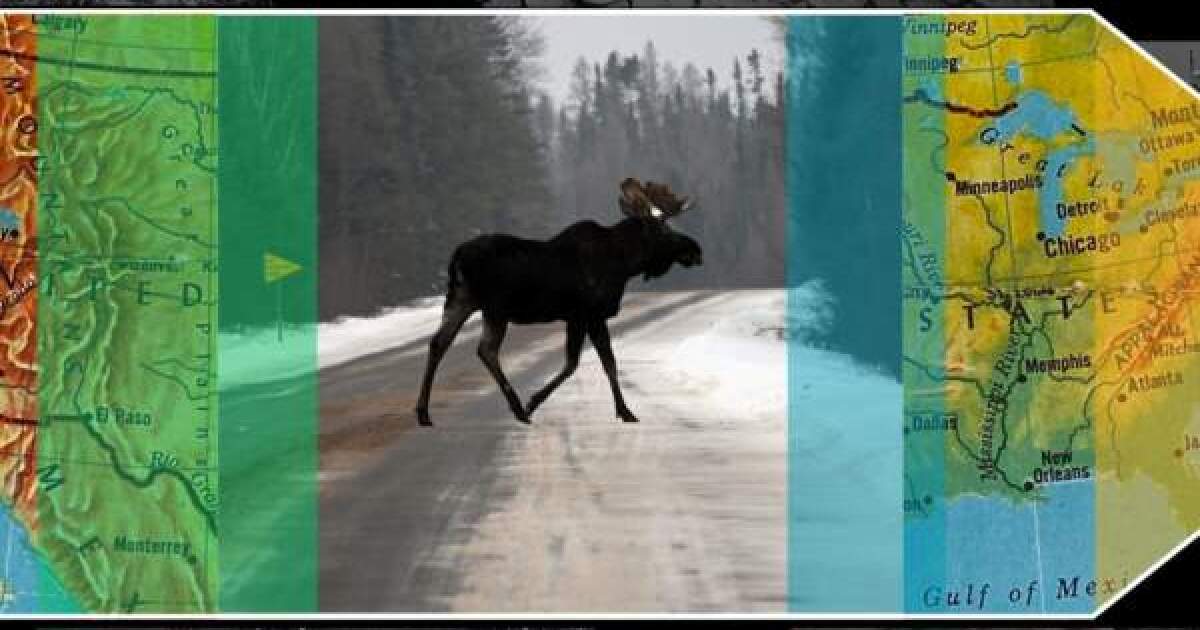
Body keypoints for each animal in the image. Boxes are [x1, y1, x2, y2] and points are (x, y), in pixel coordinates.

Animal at [415, 177, 703, 427]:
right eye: (664, 230)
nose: (696, 250)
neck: (626, 264)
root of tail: (457, 257)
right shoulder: (587, 314)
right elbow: (585, 363)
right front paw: (534, 402)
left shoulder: (585, 317)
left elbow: (598, 362)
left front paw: (623, 411)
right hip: (495, 308)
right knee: (485, 349)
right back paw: (518, 409)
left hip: (461, 300)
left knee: (438, 343)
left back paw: (423, 413)